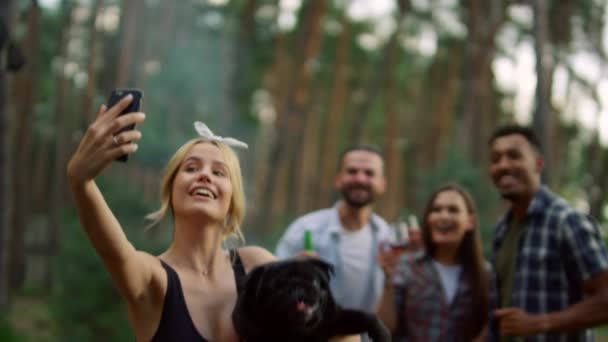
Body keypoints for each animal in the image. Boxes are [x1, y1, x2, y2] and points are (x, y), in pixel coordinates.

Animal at [233, 258, 390, 340]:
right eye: (278, 286)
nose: (297, 287)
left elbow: (366, 317)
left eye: (312, 281)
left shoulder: (336, 319)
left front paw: (381, 334)